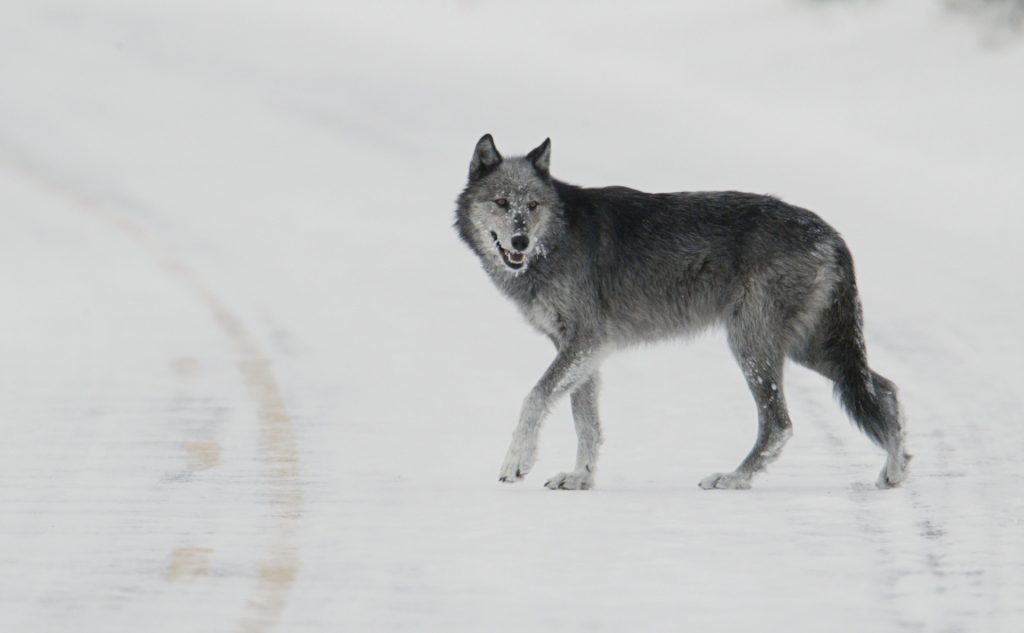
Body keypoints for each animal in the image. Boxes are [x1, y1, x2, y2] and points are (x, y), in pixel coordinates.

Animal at [454, 134, 910, 490]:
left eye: (532, 205)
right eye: (501, 202)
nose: (520, 241)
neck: (557, 239)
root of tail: (830, 233)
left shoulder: (585, 341)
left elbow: (534, 397)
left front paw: (517, 462)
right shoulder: (581, 349)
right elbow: (586, 421)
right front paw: (580, 477)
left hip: (754, 346)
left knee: (780, 424)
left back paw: (733, 478)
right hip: (809, 349)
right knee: (886, 388)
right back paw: (895, 471)